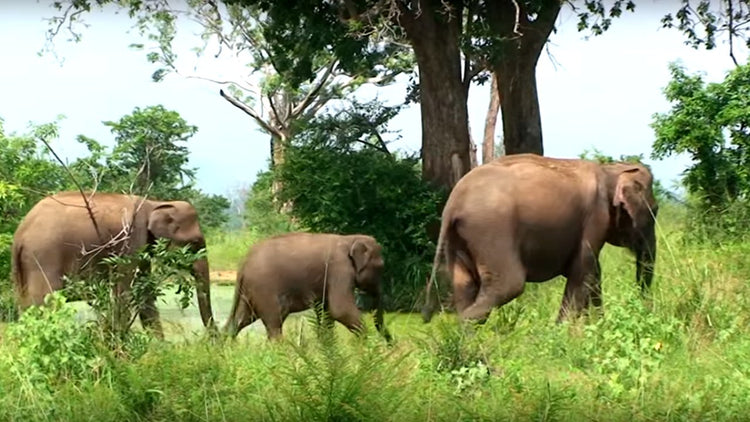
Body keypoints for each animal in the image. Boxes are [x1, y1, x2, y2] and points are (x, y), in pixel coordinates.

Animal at [10, 191, 216, 336]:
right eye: (195, 243)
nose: (213, 340)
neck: (155, 204)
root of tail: (20, 235)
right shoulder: (131, 239)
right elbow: (124, 291)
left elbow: (145, 294)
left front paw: (161, 351)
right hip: (43, 258)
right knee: (45, 304)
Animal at [223, 232, 394, 342]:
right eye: (381, 267)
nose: (392, 344)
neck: (349, 238)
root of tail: (243, 265)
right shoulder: (339, 269)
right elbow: (340, 309)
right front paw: (365, 344)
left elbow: (326, 311)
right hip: (264, 289)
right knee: (274, 323)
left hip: (249, 292)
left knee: (241, 319)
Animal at [420, 154, 660, 324]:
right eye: (655, 210)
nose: (646, 307)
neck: (610, 170)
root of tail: (453, 203)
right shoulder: (595, 217)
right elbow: (583, 271)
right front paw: (562, 336)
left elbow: (591, 273)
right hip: (491, 231)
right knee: (508, 285)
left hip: (459, 240)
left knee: (465, 286)